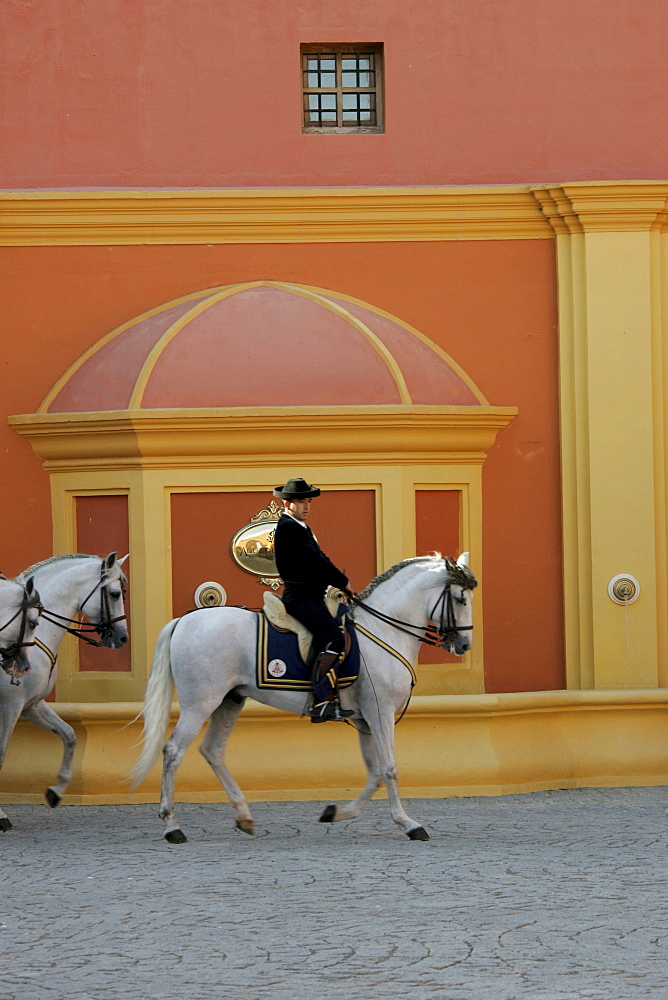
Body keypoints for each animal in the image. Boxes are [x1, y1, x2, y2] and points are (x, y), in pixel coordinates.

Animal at [0, 552, 129, 832]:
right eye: (115, 594)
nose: (123, 638)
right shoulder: (10, 706)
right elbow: (1, 755)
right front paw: (1, 816)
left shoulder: (31, 706)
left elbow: (69, 735)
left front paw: (56, 792)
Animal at [132, 556, 474, 844]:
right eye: (460, 598)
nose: (465, 645)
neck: (382, 630)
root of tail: (184, 621)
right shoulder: (380, 713)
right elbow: (389, 769)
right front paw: (408, 823)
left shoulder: (364, 718)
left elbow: (375, 773)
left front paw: (337, 813)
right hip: (200, 703)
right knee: (173, 751)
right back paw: (172, 826)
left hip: (229, 700)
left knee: (212, 750)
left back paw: (243, 816)